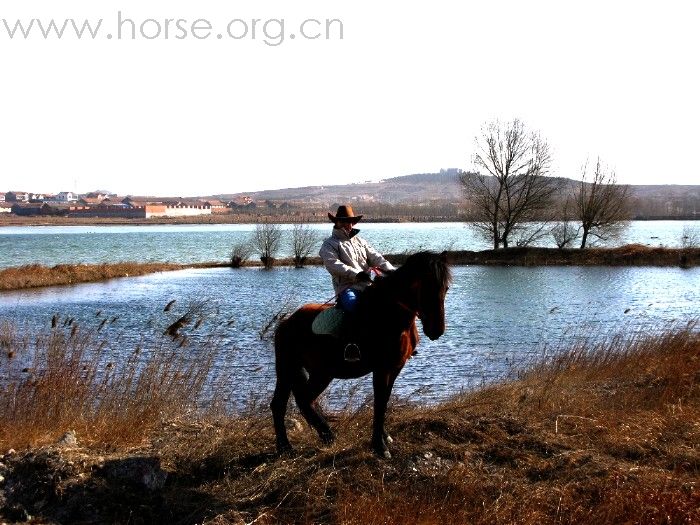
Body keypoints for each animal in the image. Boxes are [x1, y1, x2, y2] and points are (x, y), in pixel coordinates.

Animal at [270, 250, 452, 458]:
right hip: (306, 371)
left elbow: (385, 400)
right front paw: (380, 446)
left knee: (289, 402)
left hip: (303, 372)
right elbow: (380, 403)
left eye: (445, 288)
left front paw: (384, 437)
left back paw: (299, 443)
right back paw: (308, 440)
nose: (436, 330)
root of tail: (286, 322)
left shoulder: (395, 368)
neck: (389, 315)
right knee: (295, 401)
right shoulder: (382, 369)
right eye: (425, 287)